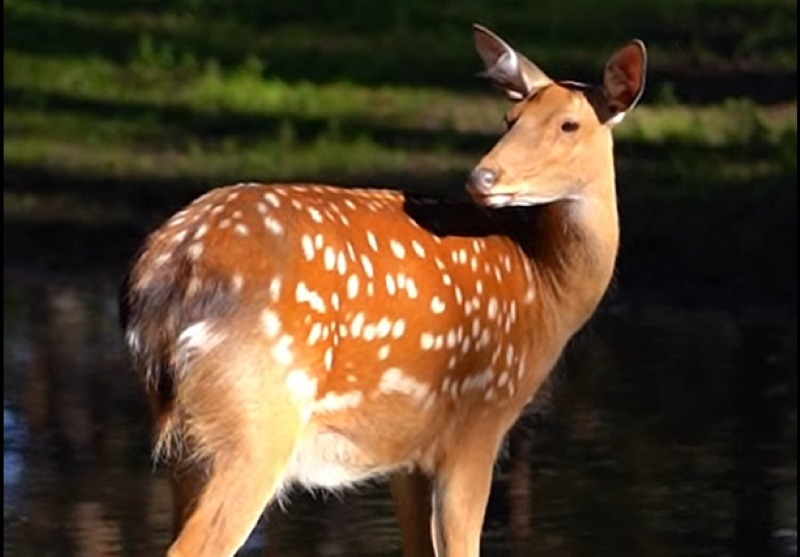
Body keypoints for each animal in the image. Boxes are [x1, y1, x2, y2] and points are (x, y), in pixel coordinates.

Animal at [117, 22, 644, 556]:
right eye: (509, 118)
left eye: (568, 125)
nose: (482, 177)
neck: (544, 287)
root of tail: (169, 274)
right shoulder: (478, 419)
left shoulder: (410, 455)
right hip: (257, 418)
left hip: (184, 441)